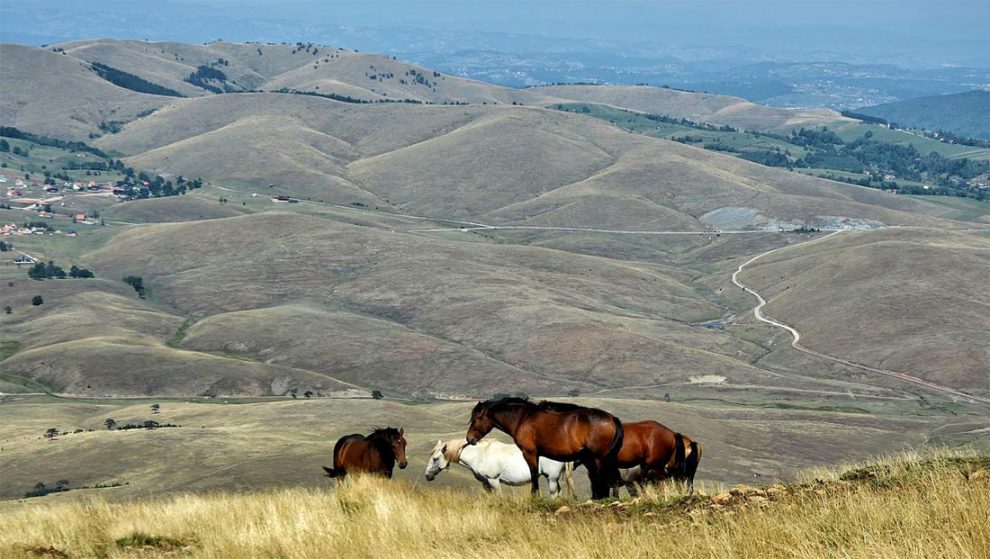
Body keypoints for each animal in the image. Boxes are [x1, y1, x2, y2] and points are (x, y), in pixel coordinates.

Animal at [424, 438, 572, 498]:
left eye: (435, 459)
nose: (427, 476)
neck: (480, 454)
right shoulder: (485, 482)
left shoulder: (493, 480)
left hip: (551, 478)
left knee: (554, 494)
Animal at [468, 398, 624, 498]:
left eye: (476, 419)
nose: (469, 439)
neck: (523, 419)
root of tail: (612, 418)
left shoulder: (529, 453)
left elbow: (533, 474)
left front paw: (534, 497)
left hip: (598, 457)